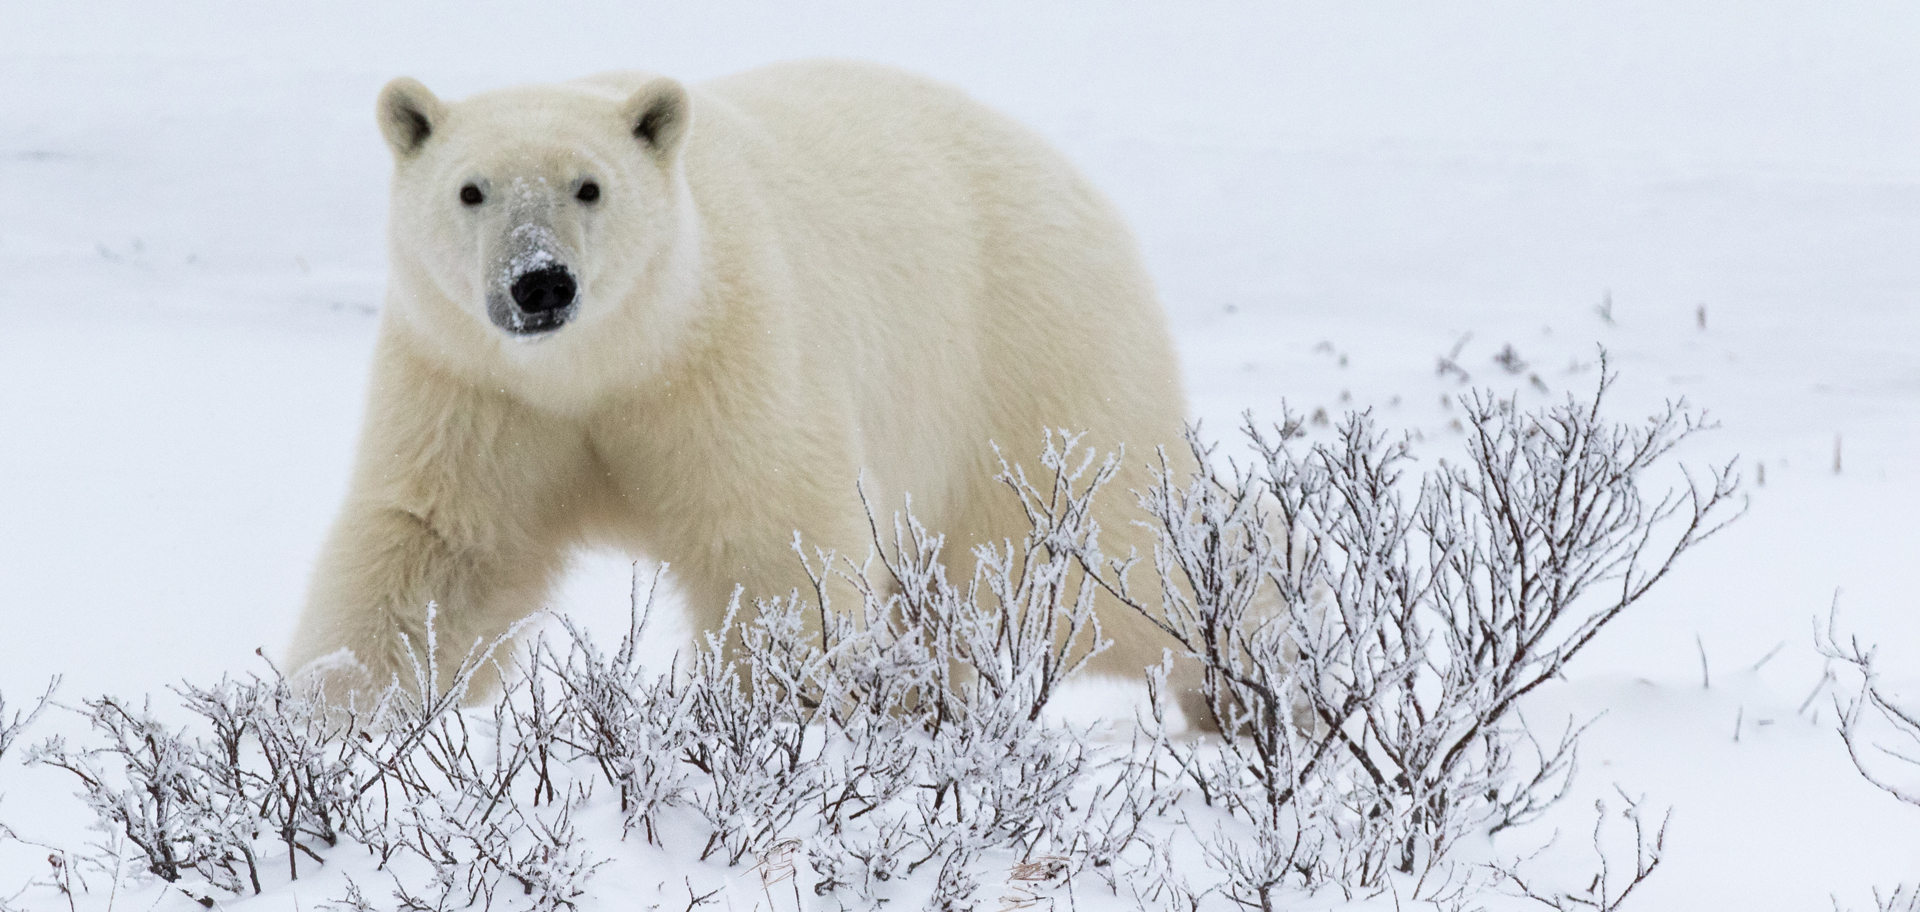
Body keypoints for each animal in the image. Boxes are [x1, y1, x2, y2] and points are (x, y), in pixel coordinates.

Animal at [285, 59, 1209, 723]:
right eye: (470, 189)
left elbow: (771, 539)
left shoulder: (726, 359)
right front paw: (328, 715)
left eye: (589, 185)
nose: (540, 283)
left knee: (1111, 563)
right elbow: (439, 549)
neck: (607, 364)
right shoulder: (478, 391)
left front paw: (776, 716)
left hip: (1028, 368)